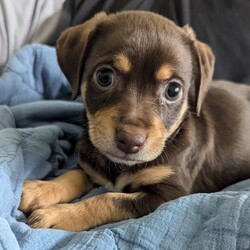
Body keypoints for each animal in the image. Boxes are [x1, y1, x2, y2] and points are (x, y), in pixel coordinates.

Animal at [19, 11, 250, 230]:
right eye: (104, 77)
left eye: (173, 90)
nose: (130, 141)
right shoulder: (91, 165)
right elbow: (74, 174)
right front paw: (39, 189)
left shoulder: (168, 194)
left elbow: (108, 199)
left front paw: (59, 214)